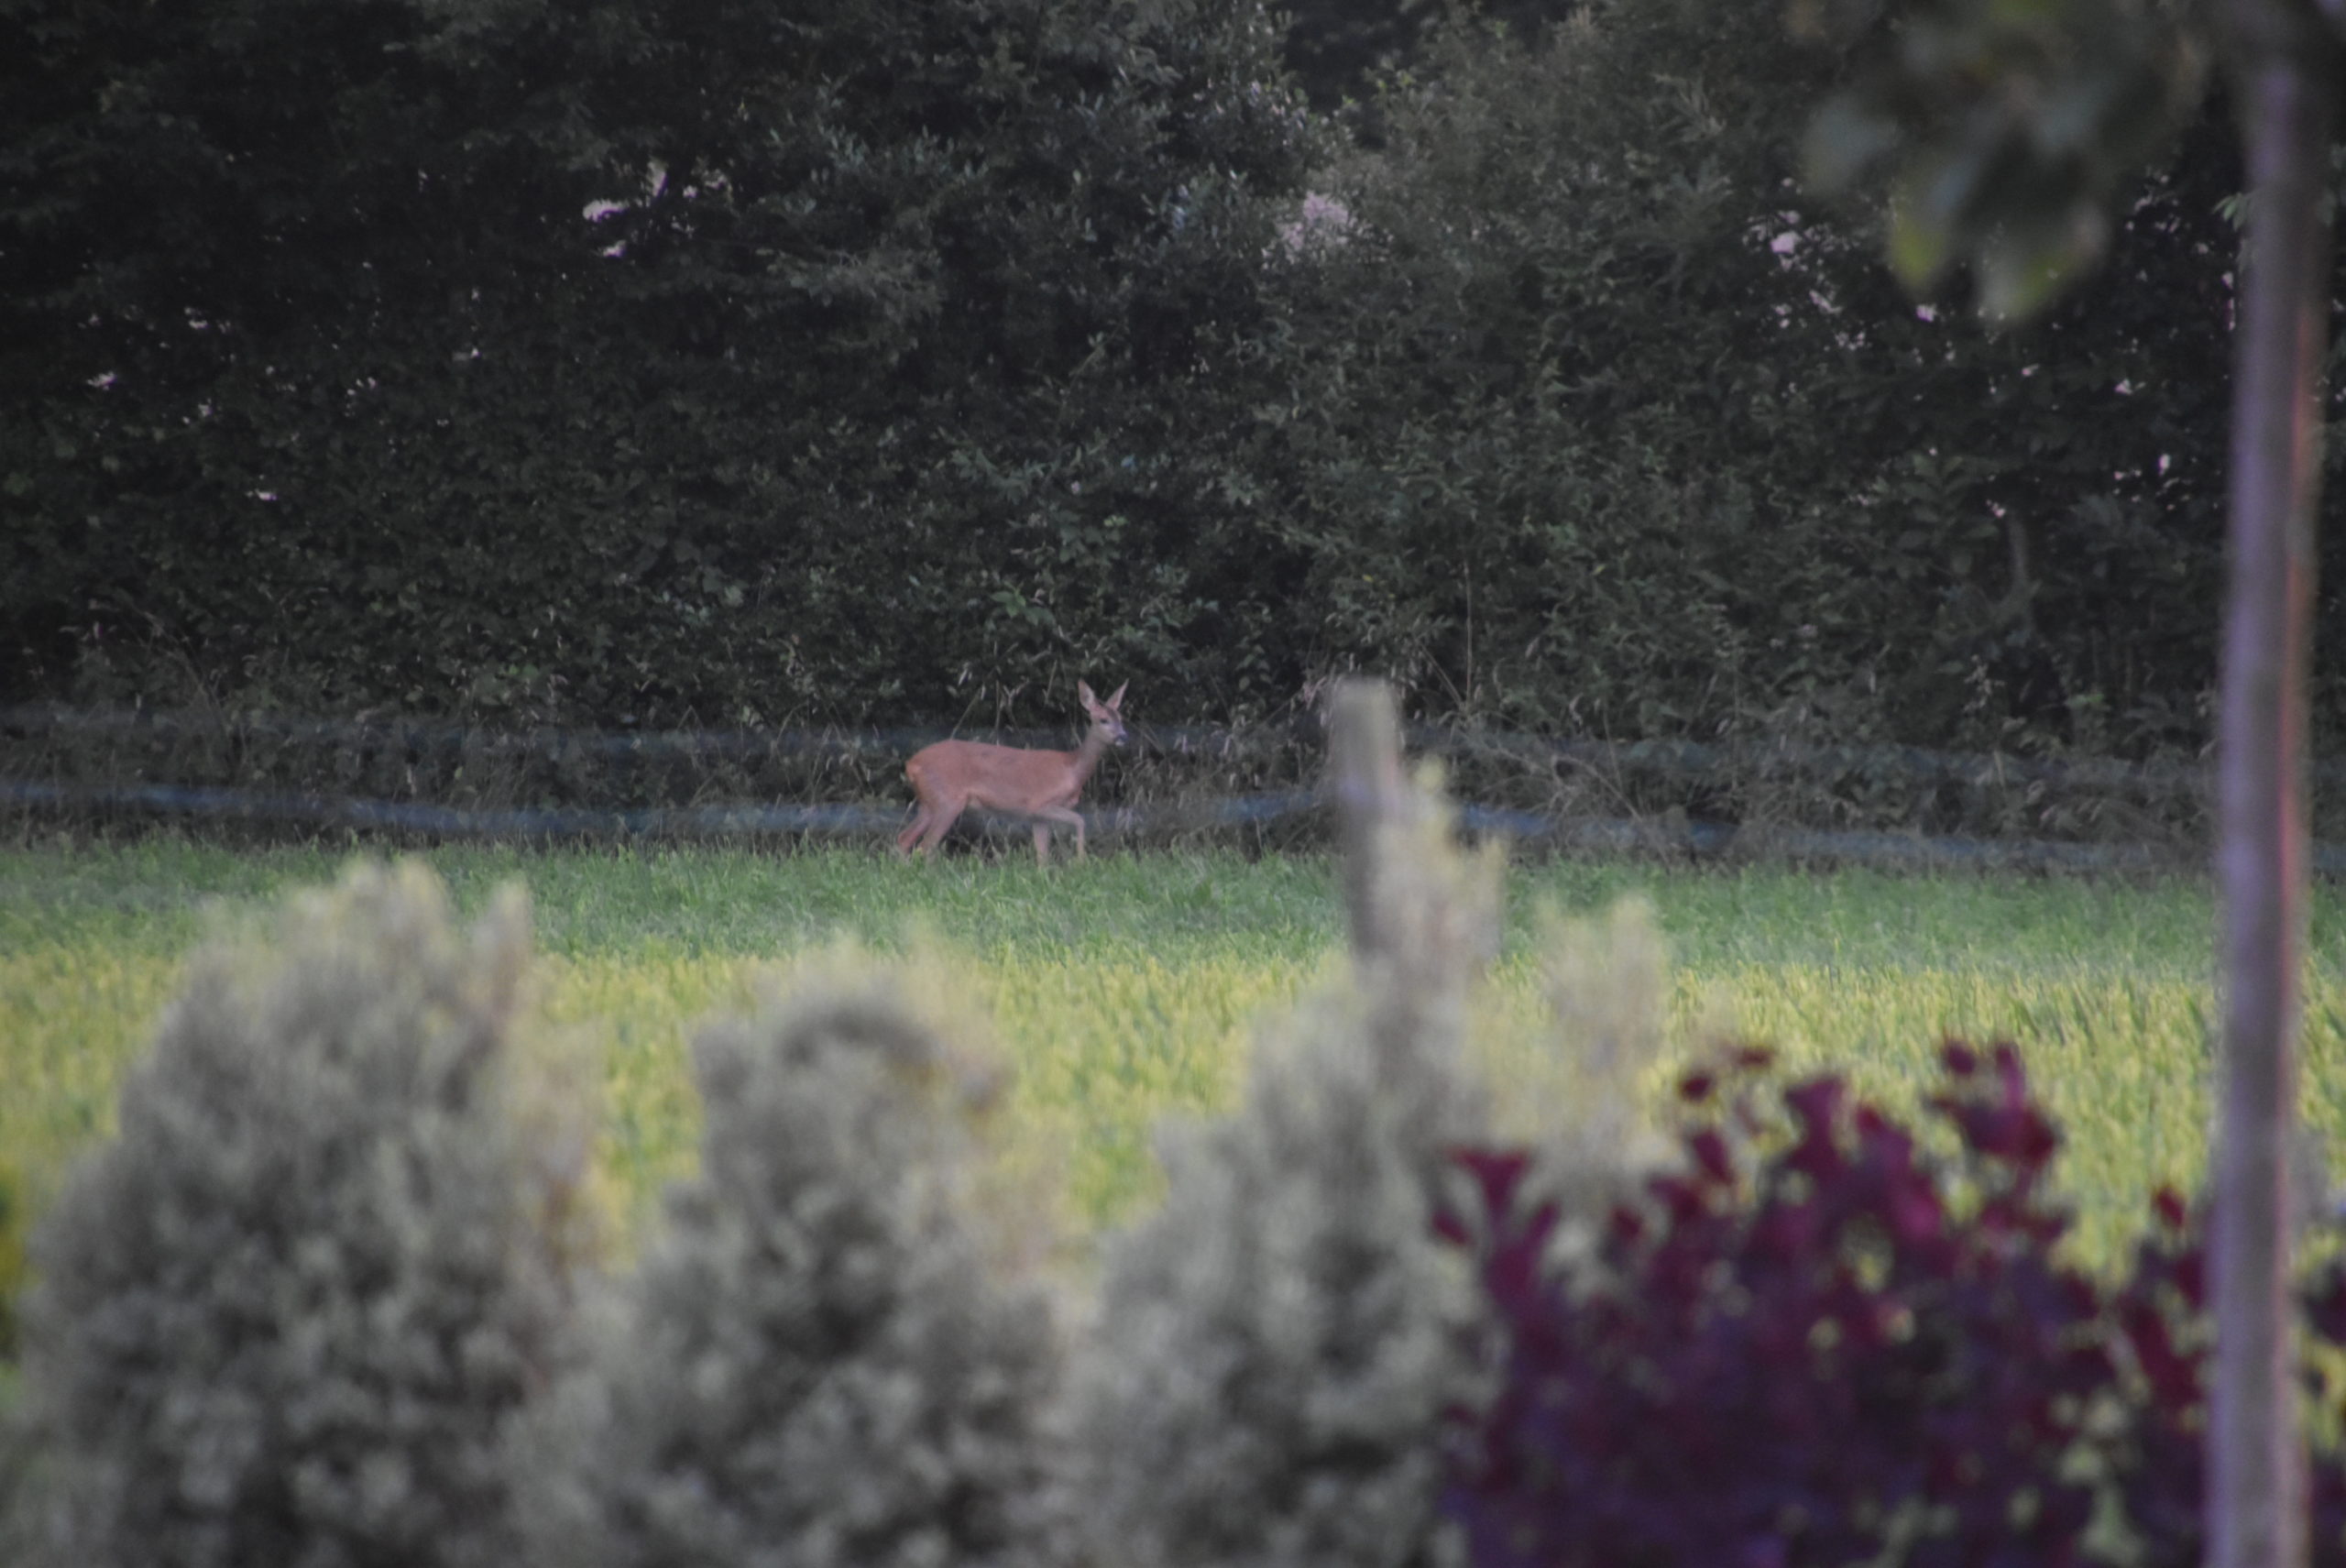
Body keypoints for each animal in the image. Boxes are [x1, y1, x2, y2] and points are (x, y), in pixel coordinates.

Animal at [896, 681, 1129, 866]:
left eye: (1121, 717)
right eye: (1103, 720)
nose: (1123, 737)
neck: (1072, 769)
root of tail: (911, 764)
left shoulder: (1038, 817)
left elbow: (1042, 855)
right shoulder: (1040, 803)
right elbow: (1080, 820)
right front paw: (1081, 862)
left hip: (928, 802)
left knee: (904, 839)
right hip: (947, 801)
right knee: (926, 845)